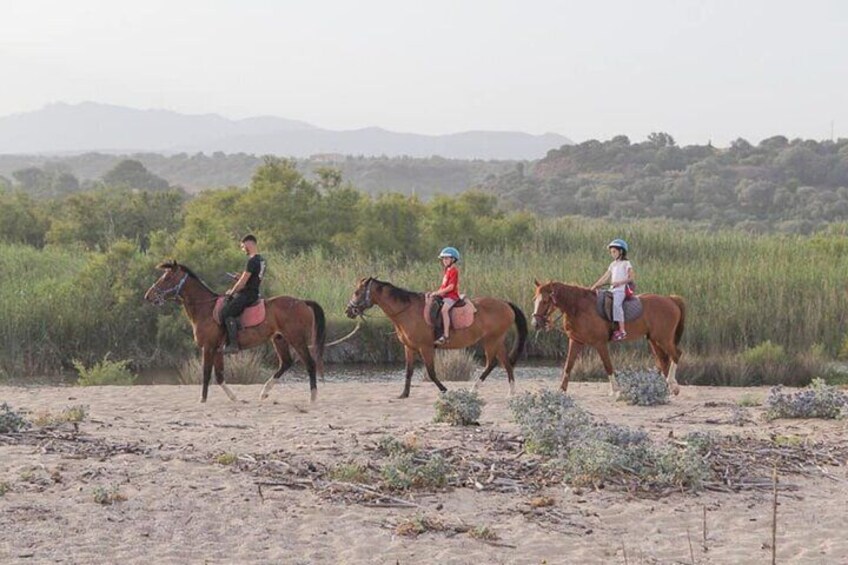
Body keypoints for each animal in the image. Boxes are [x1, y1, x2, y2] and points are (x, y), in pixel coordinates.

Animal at [144, 260, 322, 400]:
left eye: (166, 278)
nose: (148, 296)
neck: (205, 308)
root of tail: (302, 302)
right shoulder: (217, 349)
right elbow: (219, 376)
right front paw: (234, 398)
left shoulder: (208, 347)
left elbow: (206, 373)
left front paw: (202, 400)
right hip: (279, 339)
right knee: (285, 363)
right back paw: (264, 392)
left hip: (296, 339)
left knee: (309, 363)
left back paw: (313, 397)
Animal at [342, 278, 524, 396]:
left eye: (357, 292)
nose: (348, 311)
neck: (407, 311)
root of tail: (506, 304)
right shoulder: (409, 347)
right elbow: (408, 371)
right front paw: (404, 394)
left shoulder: (426, 348)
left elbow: (431, 372)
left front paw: (445, 390)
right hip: (496, 340)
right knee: (504, 363)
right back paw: (510, 392)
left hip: (492, 340)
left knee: (493, 363)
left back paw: (477, 389)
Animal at [532, 278, 684, 394]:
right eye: (535, 300)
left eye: (545, 301)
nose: (535, 323)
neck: (578, 307)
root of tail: (671, 299)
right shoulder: (575, 341)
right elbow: (568, 366)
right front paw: (561, 390)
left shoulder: (600, 343)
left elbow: (608, 366)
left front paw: (616, 390)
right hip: (654, 340)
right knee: (664, 360)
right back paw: (671, 388)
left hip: (663, 339)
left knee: (676, 355)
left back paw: (672, 383)